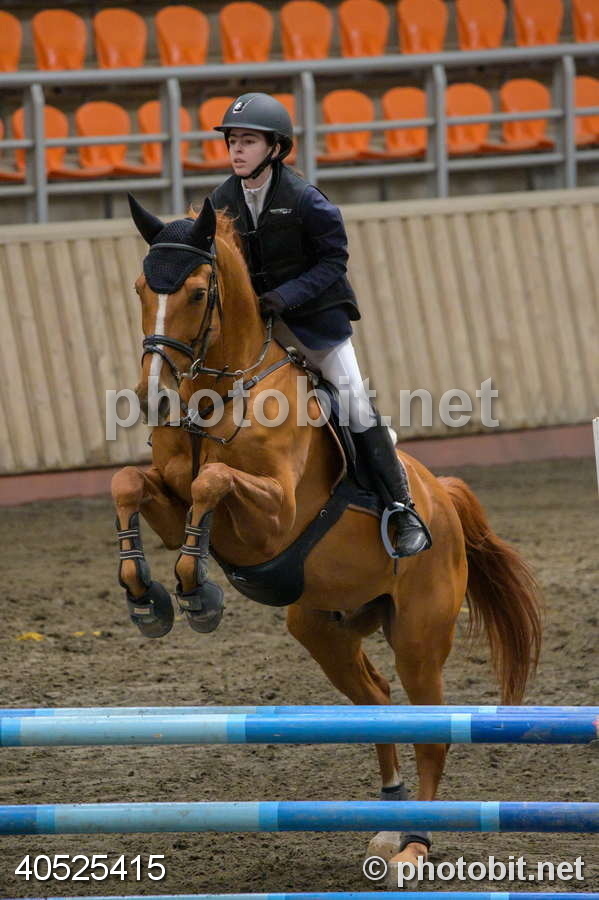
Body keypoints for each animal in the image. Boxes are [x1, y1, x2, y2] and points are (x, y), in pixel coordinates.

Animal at [111, 194, 543, 868]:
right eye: (139, 287)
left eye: (198, 292)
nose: (153, 396)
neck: (218, 396)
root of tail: (442, 498)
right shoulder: (171, 498)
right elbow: (131, 483)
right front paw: (147, 599)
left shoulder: (272, 519)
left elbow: (214, 483)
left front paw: (198, 595)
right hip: (323, 627)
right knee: (378, 704)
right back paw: (390, 822)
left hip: (419, 637)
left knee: (430, 731)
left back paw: (415, 844)